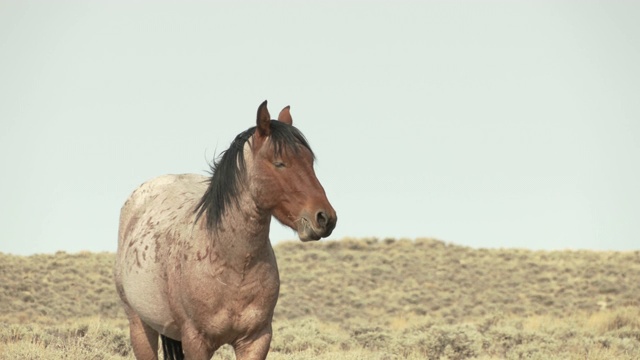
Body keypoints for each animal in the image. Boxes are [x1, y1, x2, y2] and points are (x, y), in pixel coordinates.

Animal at [113, 99, 338, 360]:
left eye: (309, 162)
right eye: (279, 163)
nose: (325, 218)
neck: (234, 264)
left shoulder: (256, 340)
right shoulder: (196, 342)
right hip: (140, 326)